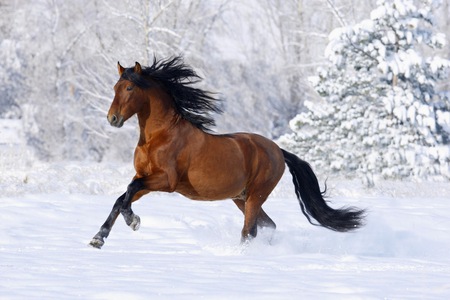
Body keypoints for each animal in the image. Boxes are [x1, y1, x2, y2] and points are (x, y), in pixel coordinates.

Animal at [89, 56, 366, 248]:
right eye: (115, 87)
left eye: (129, 89)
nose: (112, 119)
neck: (159, 136)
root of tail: (277, 150)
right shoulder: (144, 177)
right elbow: (122, 198)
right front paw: (98, 238)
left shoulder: (166, 181)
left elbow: (128, 192)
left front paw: (133, 221)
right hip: (241, 198)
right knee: (268, 225)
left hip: (255, 195)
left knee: (249, 230)